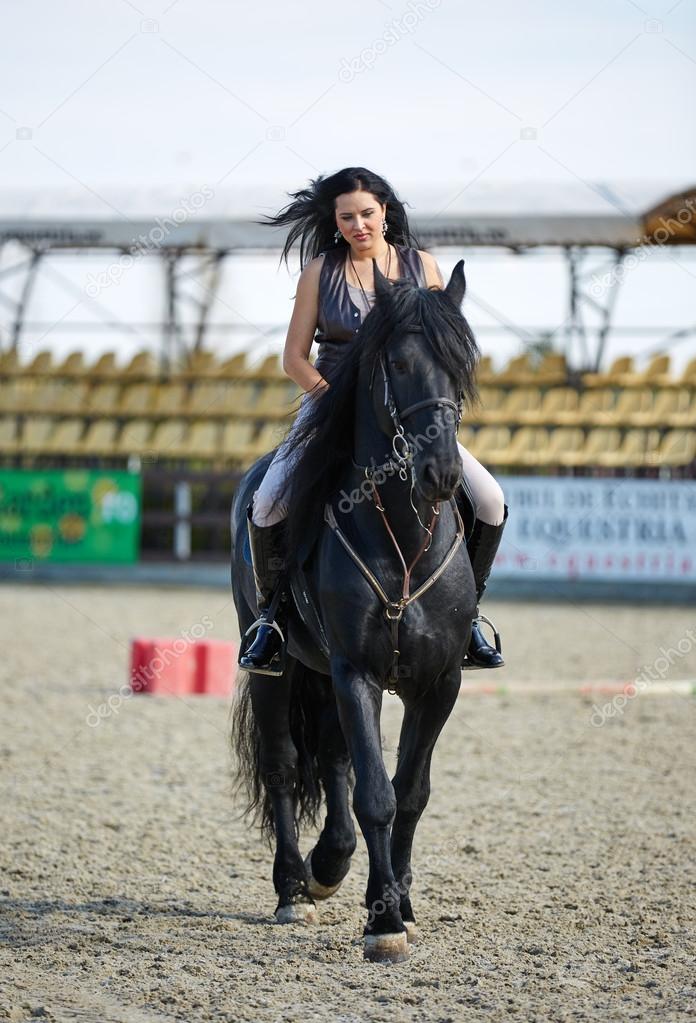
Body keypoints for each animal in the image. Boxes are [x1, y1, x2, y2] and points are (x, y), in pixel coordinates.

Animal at [231, 259, 481, 961]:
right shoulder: (357, 672)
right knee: (286, 764)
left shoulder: (438, 682)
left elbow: (410, 792)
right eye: (396, 363)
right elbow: (377, 796)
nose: (441, 474)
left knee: (334, 758)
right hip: (278, 663)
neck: (403, 537)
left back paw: (331, 863)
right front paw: (385, 923)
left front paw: (400, 904)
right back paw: (295, 887)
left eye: (464, 362)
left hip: (325, 673)